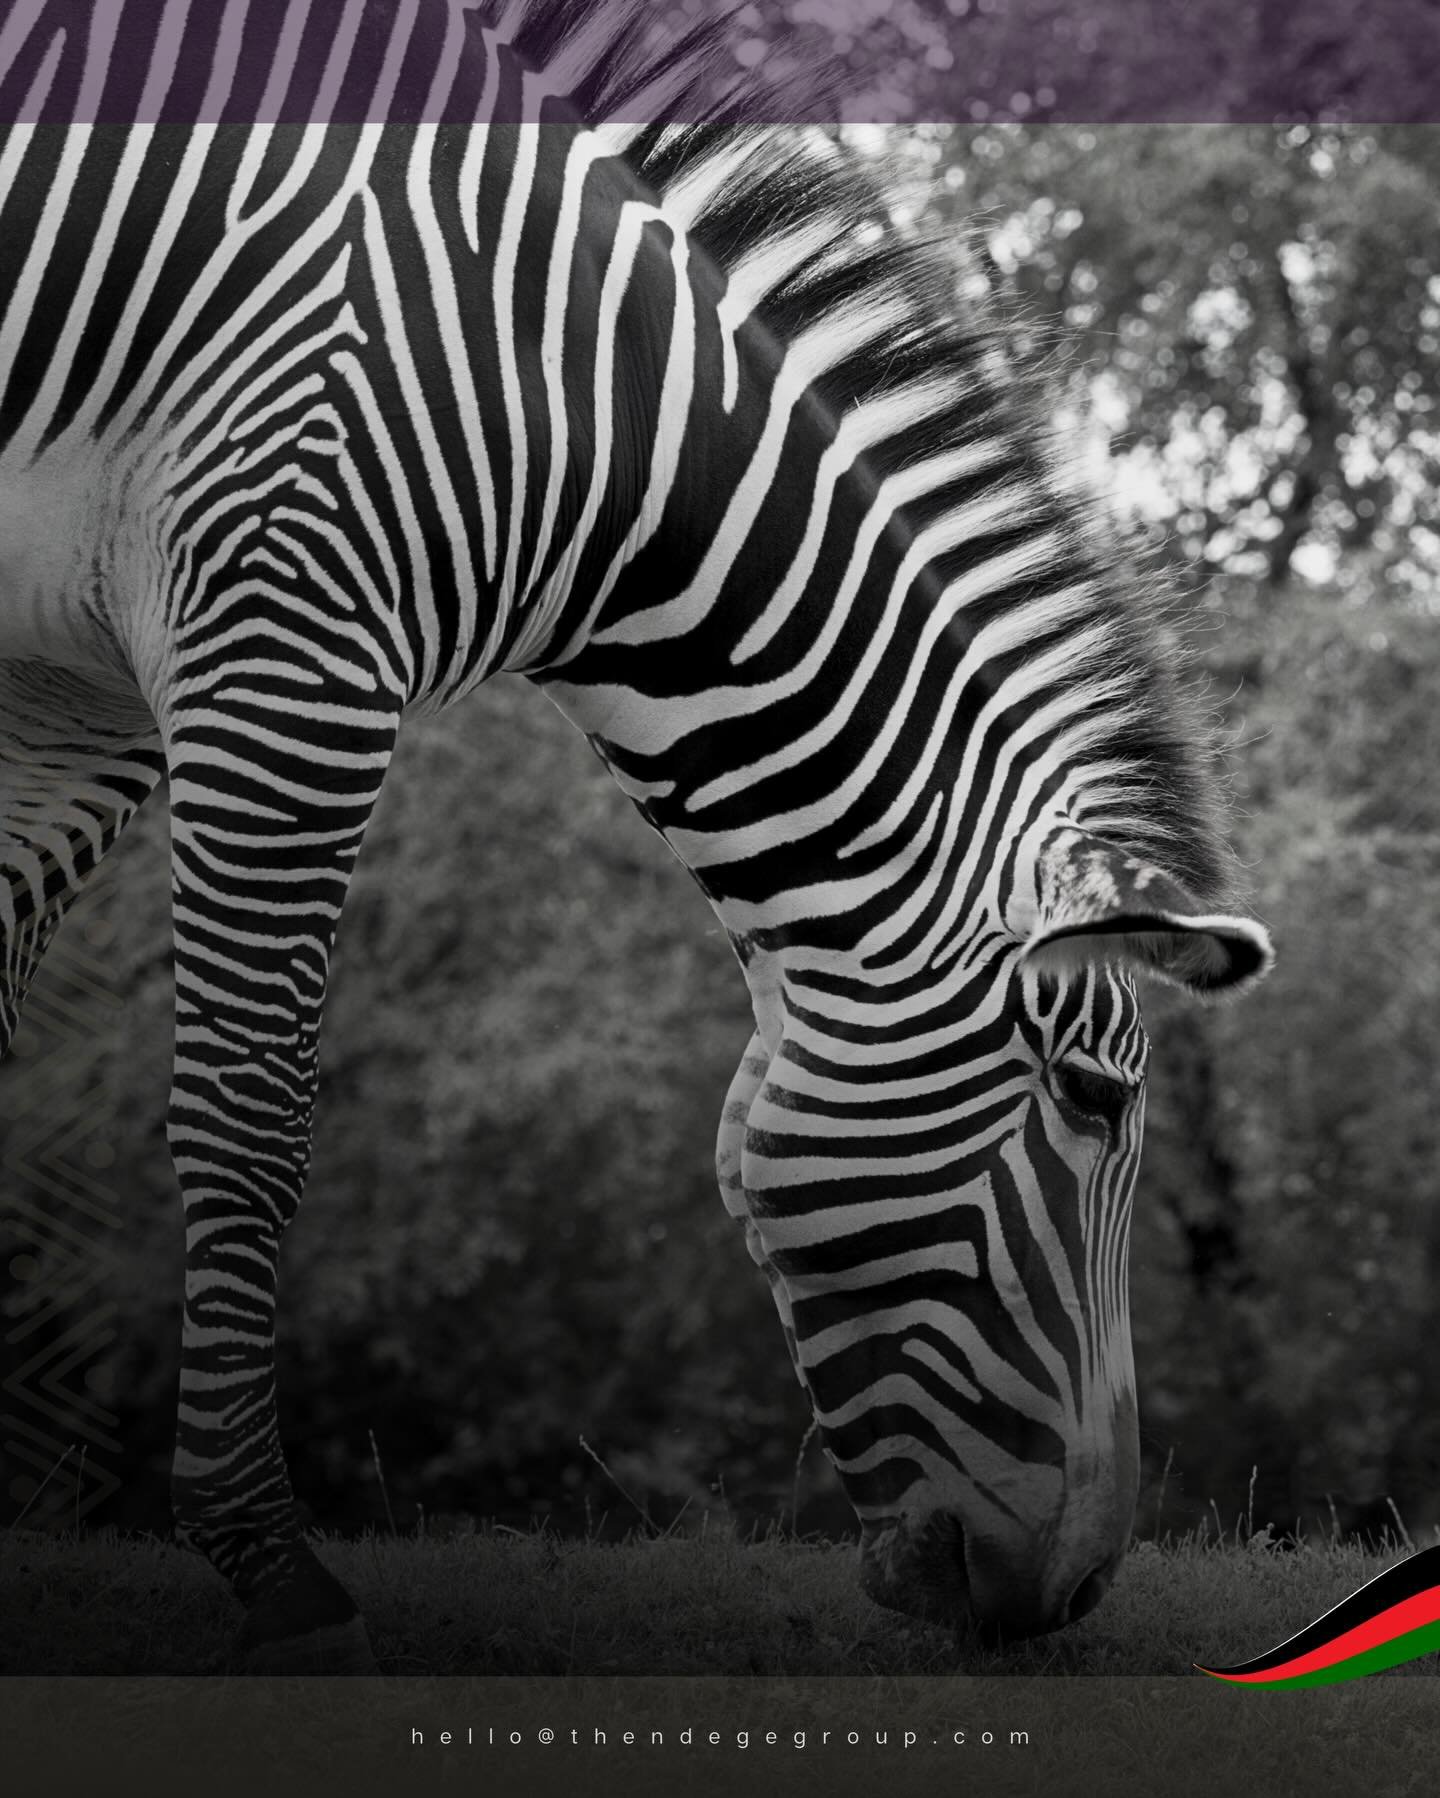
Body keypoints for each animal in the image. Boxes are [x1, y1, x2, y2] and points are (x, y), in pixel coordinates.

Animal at [0, 0, 1272, 1671]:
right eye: (1092, 1101)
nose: (1072, 1598)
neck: (582, 409)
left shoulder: (69, 701)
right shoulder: (289, 629)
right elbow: (249, 1114)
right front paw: (266, 1558)